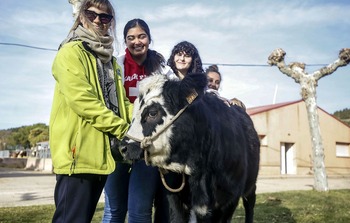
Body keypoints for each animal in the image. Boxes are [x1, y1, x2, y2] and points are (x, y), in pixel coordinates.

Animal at [120, 73, 260, 223]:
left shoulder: (229, 201)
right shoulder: (175, 199)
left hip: (251, 185)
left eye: (152, 112)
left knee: (250, 203)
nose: (123, 147)